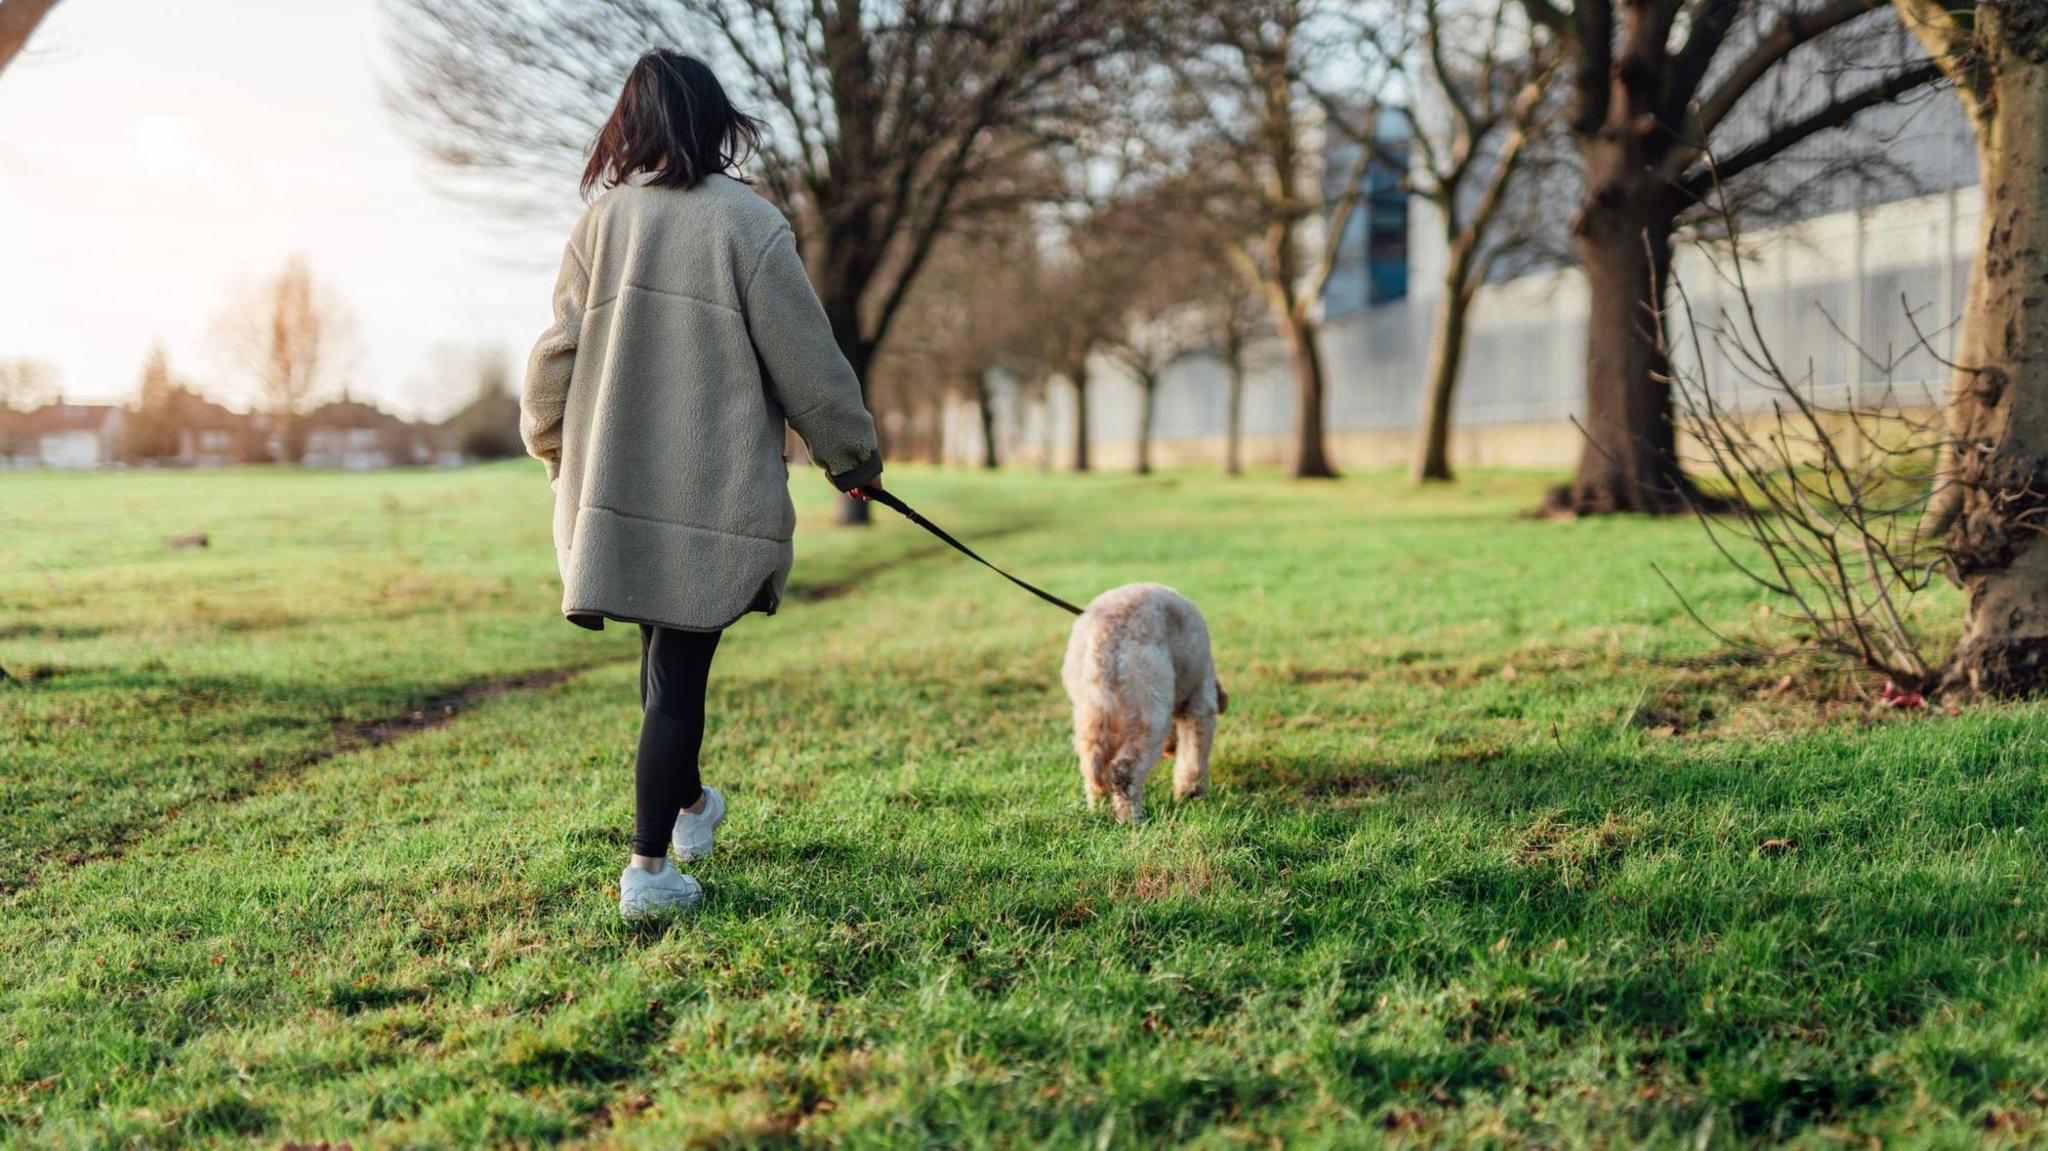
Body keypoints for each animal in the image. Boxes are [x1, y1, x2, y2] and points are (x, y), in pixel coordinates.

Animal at [1064, 581, 1220, 815]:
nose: (1168, 751)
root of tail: (1105, 632)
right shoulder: (1200, 703)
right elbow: (1194, 756)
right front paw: (1191, 795)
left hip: (1090, 705)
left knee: (1092, 765)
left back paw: (1097, 810)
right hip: (1149, 702)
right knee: (1124, 769)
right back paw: (1132, 818)